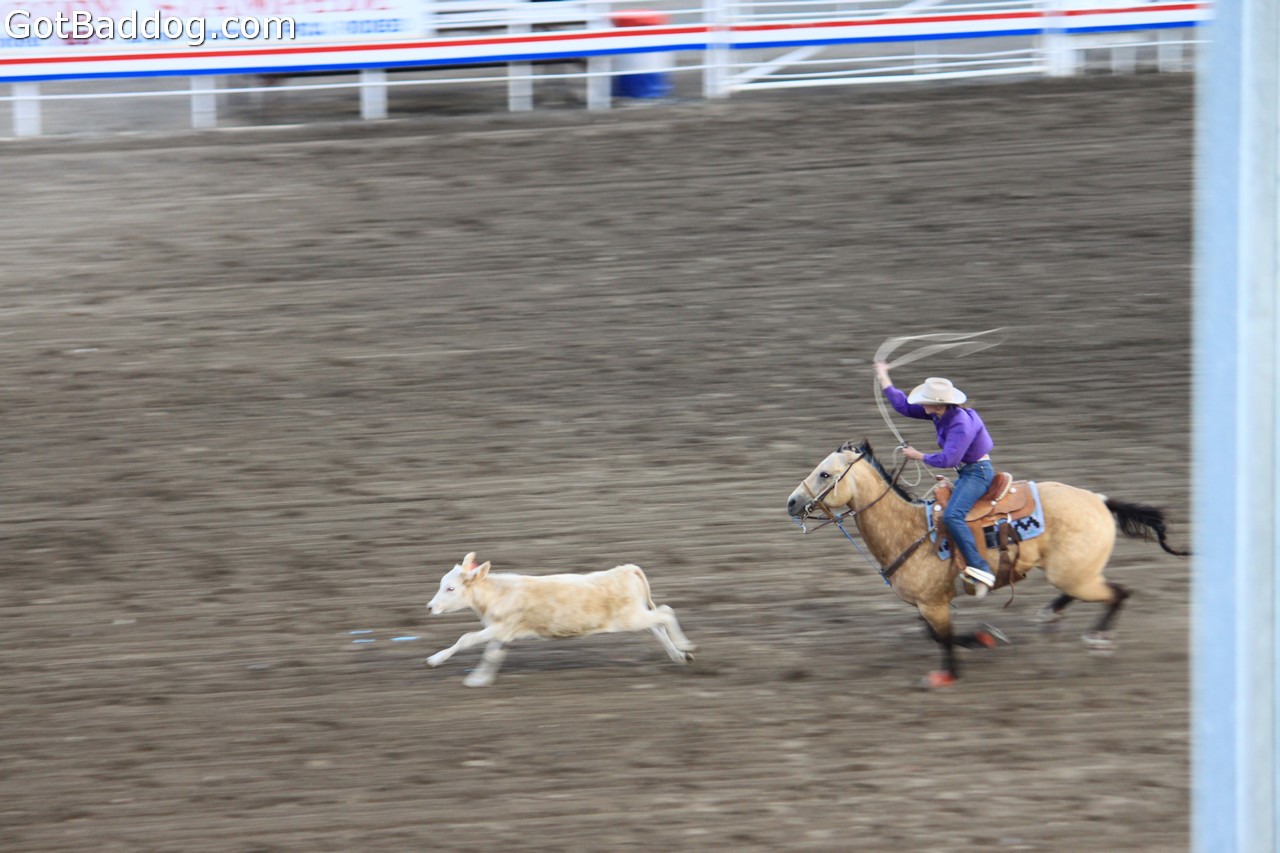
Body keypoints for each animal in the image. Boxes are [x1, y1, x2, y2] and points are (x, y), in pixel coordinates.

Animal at [786, 439, 1189, 687]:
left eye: (825, 473)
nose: (791, 502)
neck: (908, 528)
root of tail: (1101, 500)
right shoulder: (927, 604)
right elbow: (936, 634)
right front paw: (983, 638)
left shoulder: (933, 604)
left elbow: (942, 638)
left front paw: (946, 675)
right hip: (1072, 573)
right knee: (1089, 592)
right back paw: (1051, 615)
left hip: (1074, 575)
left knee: (1119, 592)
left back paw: (1098, 637)